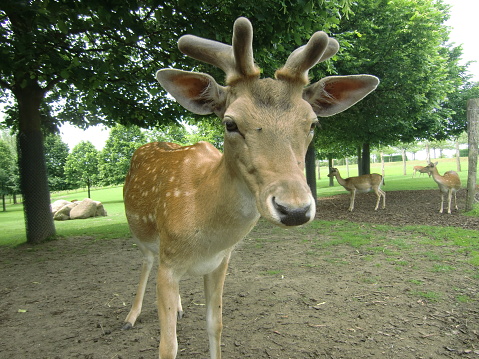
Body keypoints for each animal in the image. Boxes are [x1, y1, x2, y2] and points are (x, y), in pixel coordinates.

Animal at [124, 17, 382, 359]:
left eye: (313, 123)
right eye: (230, 123)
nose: (294, 208)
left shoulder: (220, 262)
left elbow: (215, 325)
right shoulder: (168, 264)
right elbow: (169, 346)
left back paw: (177, 308)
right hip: (142, 236)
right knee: (145, 263)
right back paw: (131, 316)